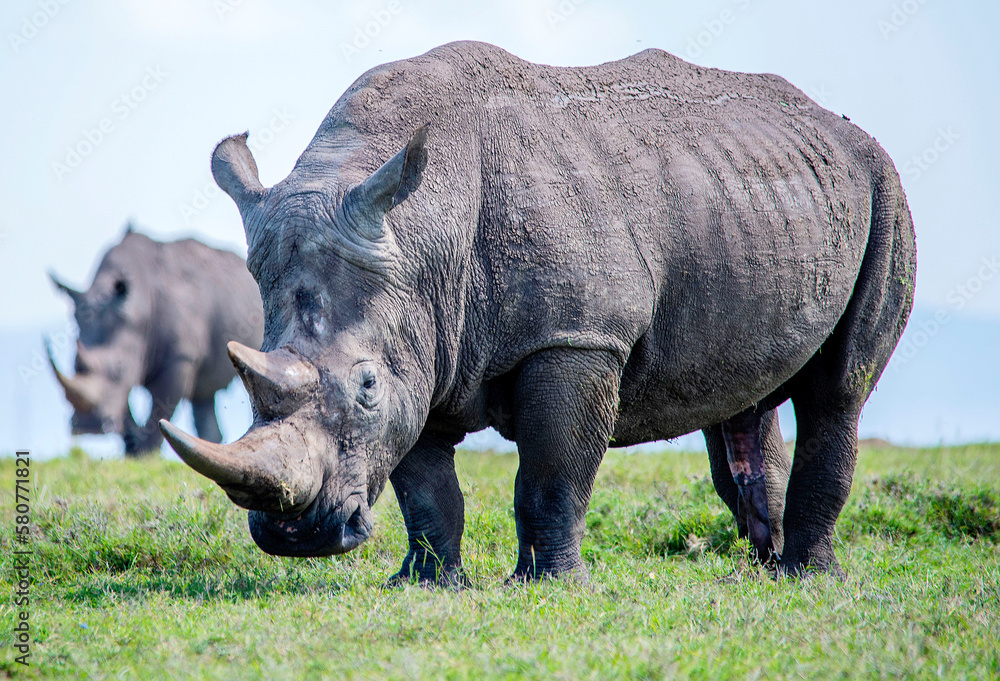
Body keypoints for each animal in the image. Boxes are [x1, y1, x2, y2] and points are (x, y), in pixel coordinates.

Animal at [50, 227, 263, 456]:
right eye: (74, 365)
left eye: (118, 370)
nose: (88, 428)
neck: (139, 309)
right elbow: (123, 404)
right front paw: (132, 451)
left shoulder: (179, 357)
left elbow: (160, 407)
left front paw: (146, 454)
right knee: (204, 394)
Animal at [161, 42, 915, 581]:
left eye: (366, 387)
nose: (299, 538)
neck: (423, 235)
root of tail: (837, 126)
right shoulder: (424, 340)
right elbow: (425, 485)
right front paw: (427, 583)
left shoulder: (576, 337)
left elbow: (554, 471)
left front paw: (549, 584)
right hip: (759, 198)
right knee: (744, 399)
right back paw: (762, 570)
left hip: (883, 189)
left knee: (839, 389)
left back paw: (808, 577)